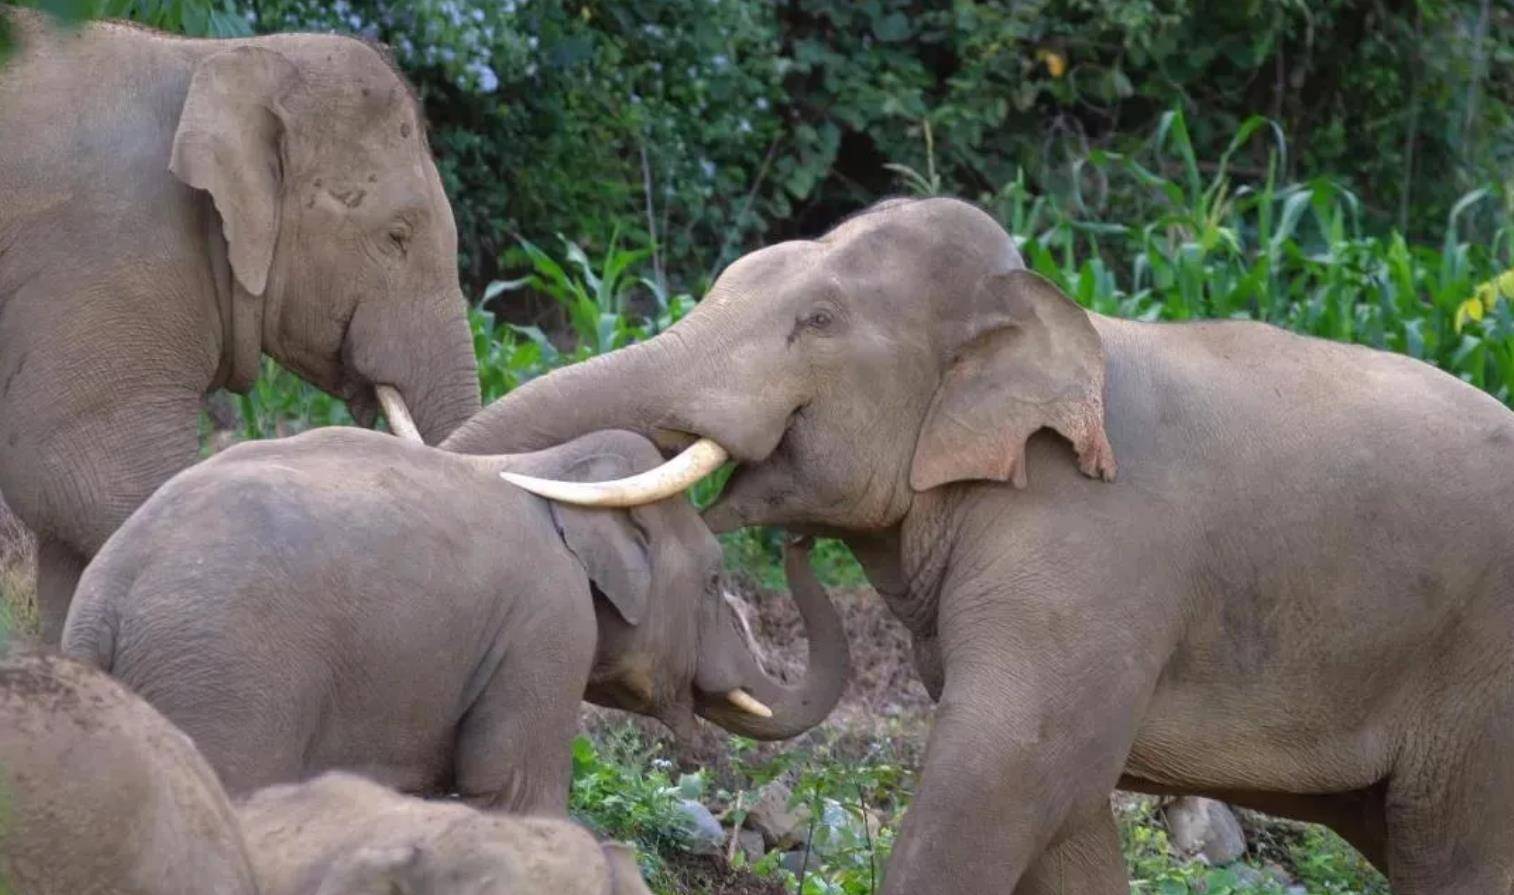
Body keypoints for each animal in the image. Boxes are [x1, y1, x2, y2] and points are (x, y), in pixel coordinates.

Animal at [59, 427, 847, 811]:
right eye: (714, 580)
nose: (803, 537)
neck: (553, 466)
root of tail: (105, 599)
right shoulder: (547, 626)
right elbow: (516, 787)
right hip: (228, 680)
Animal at [439, 193, 1514, 890]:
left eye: (818, 320)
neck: (1049, 314)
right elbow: (1065, 815)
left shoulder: (1088, 564)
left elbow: (1005, 772)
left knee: (1452, 851)